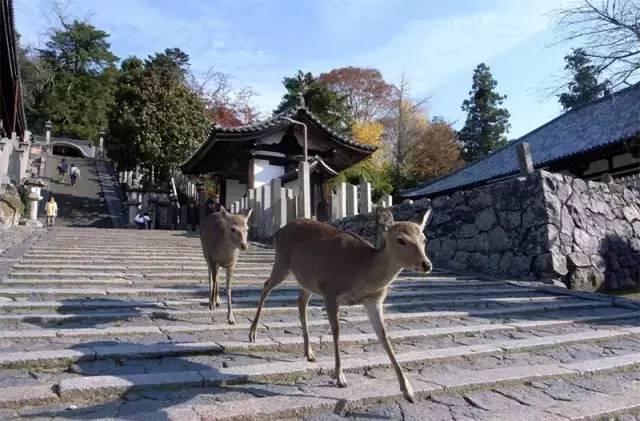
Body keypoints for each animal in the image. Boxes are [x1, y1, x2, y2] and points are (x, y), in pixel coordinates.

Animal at [248, 208, 432, 402]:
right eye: (401, 240)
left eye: (424, 239)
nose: (426, 264)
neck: (361, 271)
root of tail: (278, 231)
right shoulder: (331, 291)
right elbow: (336, 332)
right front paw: (340, 378)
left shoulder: (373, 301)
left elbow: (384, 336)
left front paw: (408, 390)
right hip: (282, 263)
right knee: (266, 286)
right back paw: (252, 334)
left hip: (309, 280)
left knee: (301, 301)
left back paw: (309, 353)